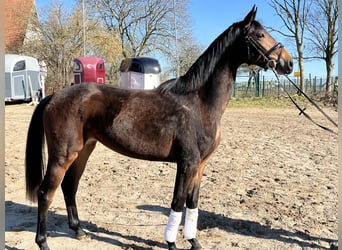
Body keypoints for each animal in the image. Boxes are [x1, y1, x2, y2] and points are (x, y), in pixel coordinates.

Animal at [24, 6, 292, 250]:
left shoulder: (200, 165)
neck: (199, 103)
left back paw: (79, 230)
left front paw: (194, 241)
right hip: (63, 154)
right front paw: (172, 243)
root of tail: (55, 96)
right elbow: (177, 202)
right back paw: (43, 242)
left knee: (69, 186)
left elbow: (193, 202)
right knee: (46, 192)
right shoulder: (187, 163)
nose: (287, 63)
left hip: (84, 150)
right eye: (260, 35)